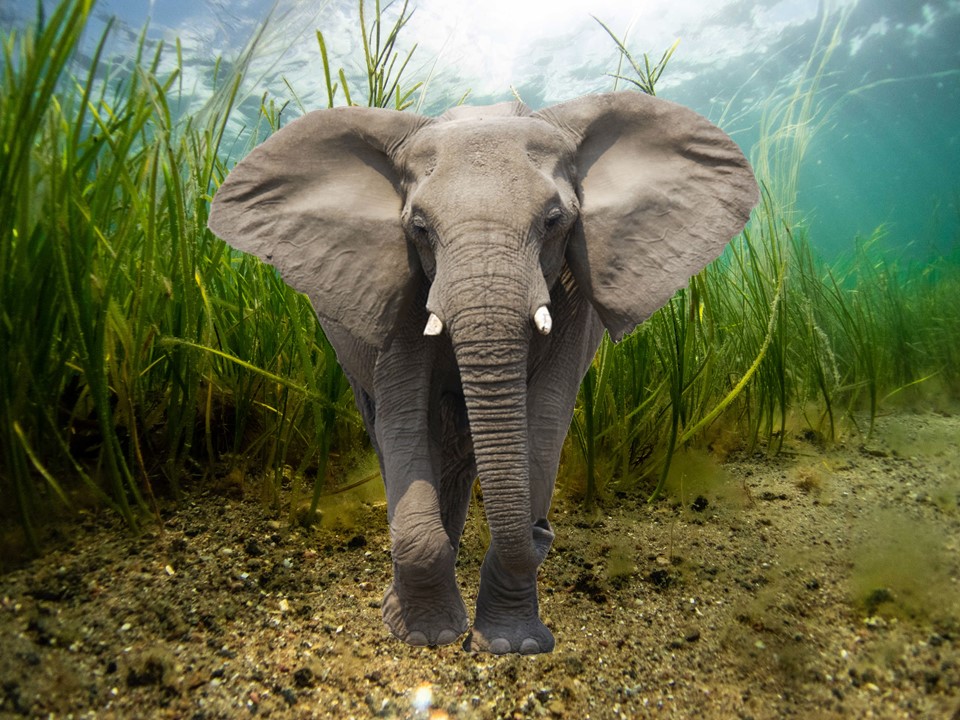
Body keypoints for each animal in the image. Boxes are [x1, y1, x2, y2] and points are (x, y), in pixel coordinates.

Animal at [208, 91, 758, 654]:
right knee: (394, 432)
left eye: (555, 220)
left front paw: (512, 647)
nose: (544, 528)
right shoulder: (403, 287)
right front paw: (426, 637)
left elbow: (544, 419)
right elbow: (405, 416)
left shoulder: (573, 295)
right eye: (419, 227)